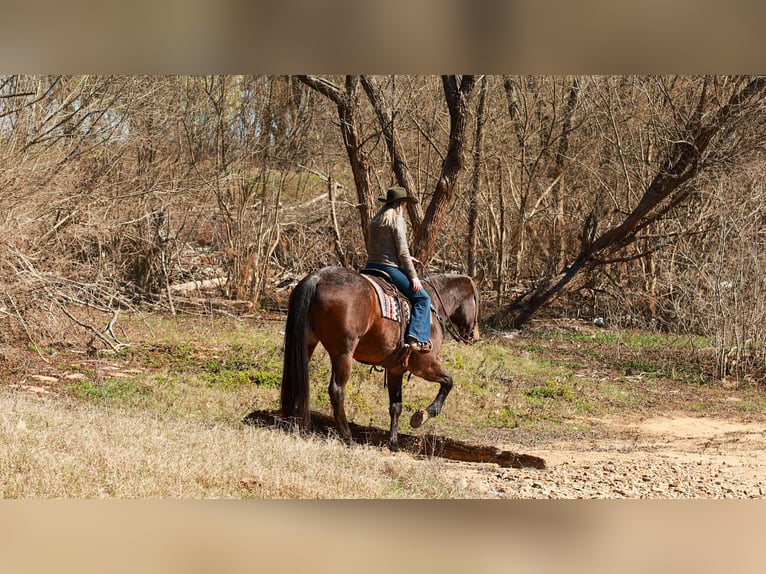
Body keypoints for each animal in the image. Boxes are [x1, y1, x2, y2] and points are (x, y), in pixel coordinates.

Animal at [280, 265, 482, 451]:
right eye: (477, 300)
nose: (475, 336)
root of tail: (319, 278)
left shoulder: (395, 369)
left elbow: (396, 406)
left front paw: (393, 442)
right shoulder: (425, 364)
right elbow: (448, 382)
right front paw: (425, 414)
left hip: (307, 342)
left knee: (297, 376)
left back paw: (294, 424)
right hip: (343, 353)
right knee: (336, 391)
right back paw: (347, 436)